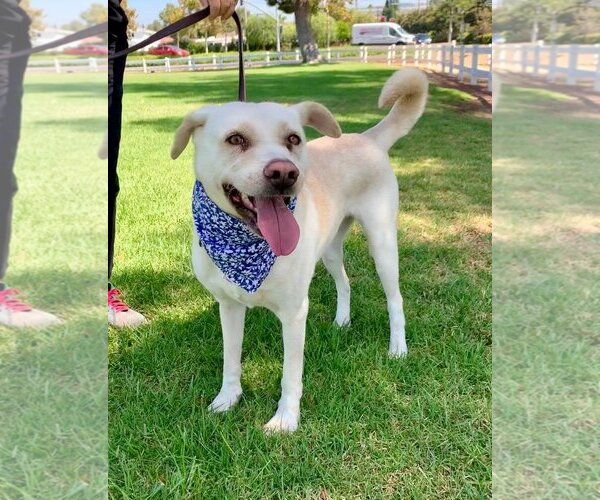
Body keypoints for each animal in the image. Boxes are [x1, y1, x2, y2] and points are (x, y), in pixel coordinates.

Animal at [171, 68, 428, 432]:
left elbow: (290, 375)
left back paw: (398, 348)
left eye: (293, 139)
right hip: (330, 249)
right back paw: (341, 321)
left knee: (395, 300)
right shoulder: (229, 306)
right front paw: (228, 399)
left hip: (382, 244)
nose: (284, 173)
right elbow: (230, 359)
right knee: (345, 282)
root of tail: (367, 138)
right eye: (235, 139)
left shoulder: (293, 313)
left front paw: (285, 419)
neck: (247, 246)